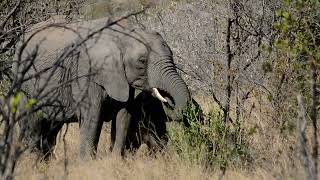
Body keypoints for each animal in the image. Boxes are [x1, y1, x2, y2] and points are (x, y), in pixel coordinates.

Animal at [13, 16, 190, 159]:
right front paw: (87, 165)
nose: (167, 101)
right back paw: (32, 162)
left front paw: (116, 162)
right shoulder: (86, 74)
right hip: (23, 86)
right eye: (142, 61)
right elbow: (93, 118)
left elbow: (124, 116)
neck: (121, 35)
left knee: (51, 128)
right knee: (32, 125)